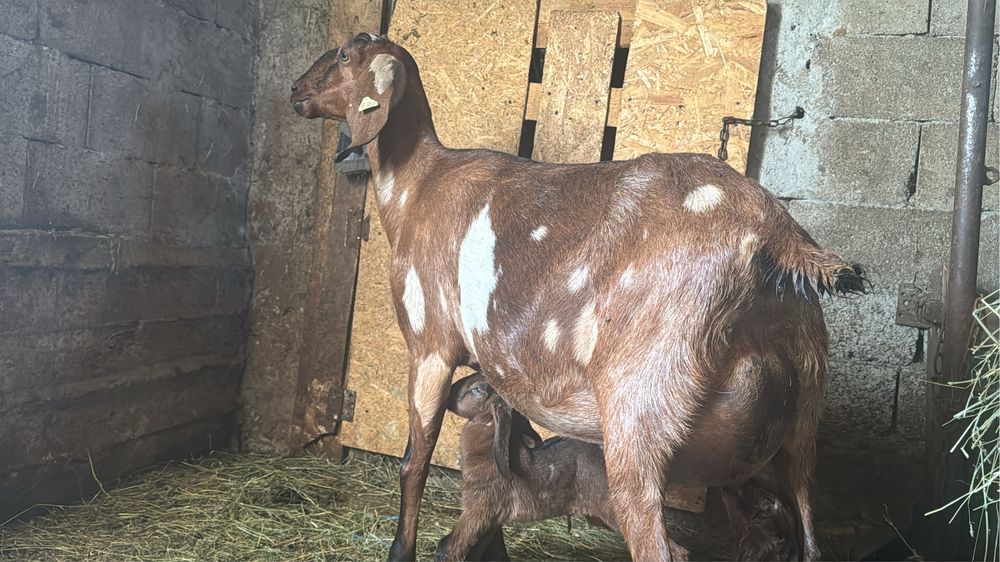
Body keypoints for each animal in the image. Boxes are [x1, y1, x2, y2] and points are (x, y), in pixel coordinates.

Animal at [291, 33, 866, 562]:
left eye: (344, 54)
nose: (296, 90)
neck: (417, 185)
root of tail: (778, 238)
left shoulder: (429, 344)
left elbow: (415, 462)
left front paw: (400, 549)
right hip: (799, 431)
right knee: (805, 532)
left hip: (640, 415)